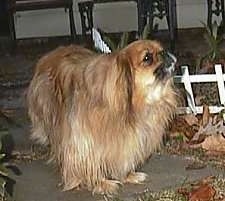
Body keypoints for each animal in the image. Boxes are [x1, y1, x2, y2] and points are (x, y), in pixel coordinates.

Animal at [26, 39, 178, 195]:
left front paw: (128, 175)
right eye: (147, 58)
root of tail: (50, 55)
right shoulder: (84, 140)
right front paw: (100, 183)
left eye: (161, 49)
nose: (164, 52)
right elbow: (90, 163)